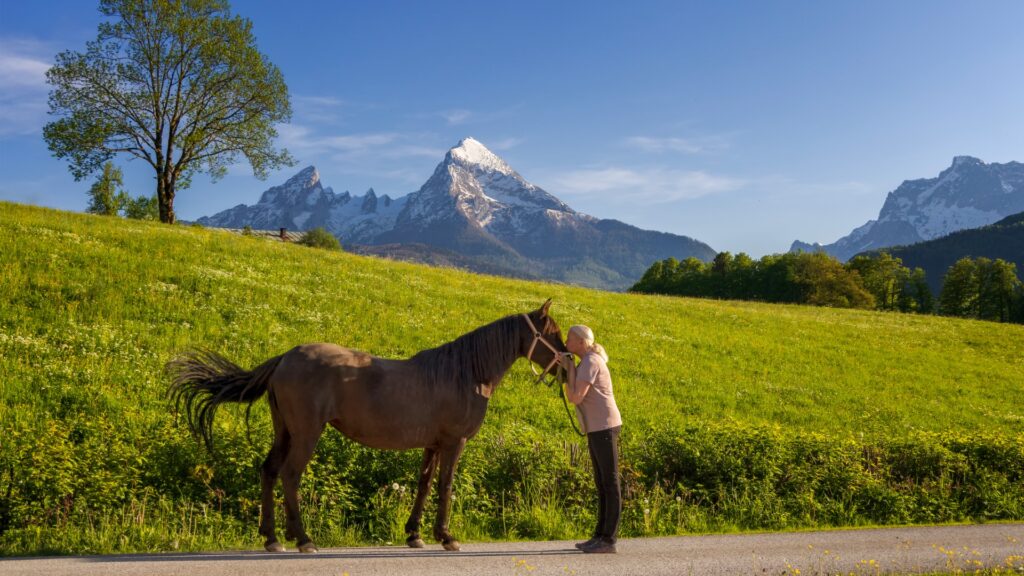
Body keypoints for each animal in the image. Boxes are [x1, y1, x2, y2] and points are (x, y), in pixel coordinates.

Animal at [167, 297, 569, 549]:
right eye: (551, 333)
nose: (567, 366)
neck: (465, 372)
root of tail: (286, 357)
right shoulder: (454, 443)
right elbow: (445, 487)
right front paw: (446, 536)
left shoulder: (433, 444)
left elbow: (423, 486)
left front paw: (415, 534)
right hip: (306, 434)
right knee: (290, 475)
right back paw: (303, 539)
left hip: (285, 431)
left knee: (268, 471)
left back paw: (272, 538)